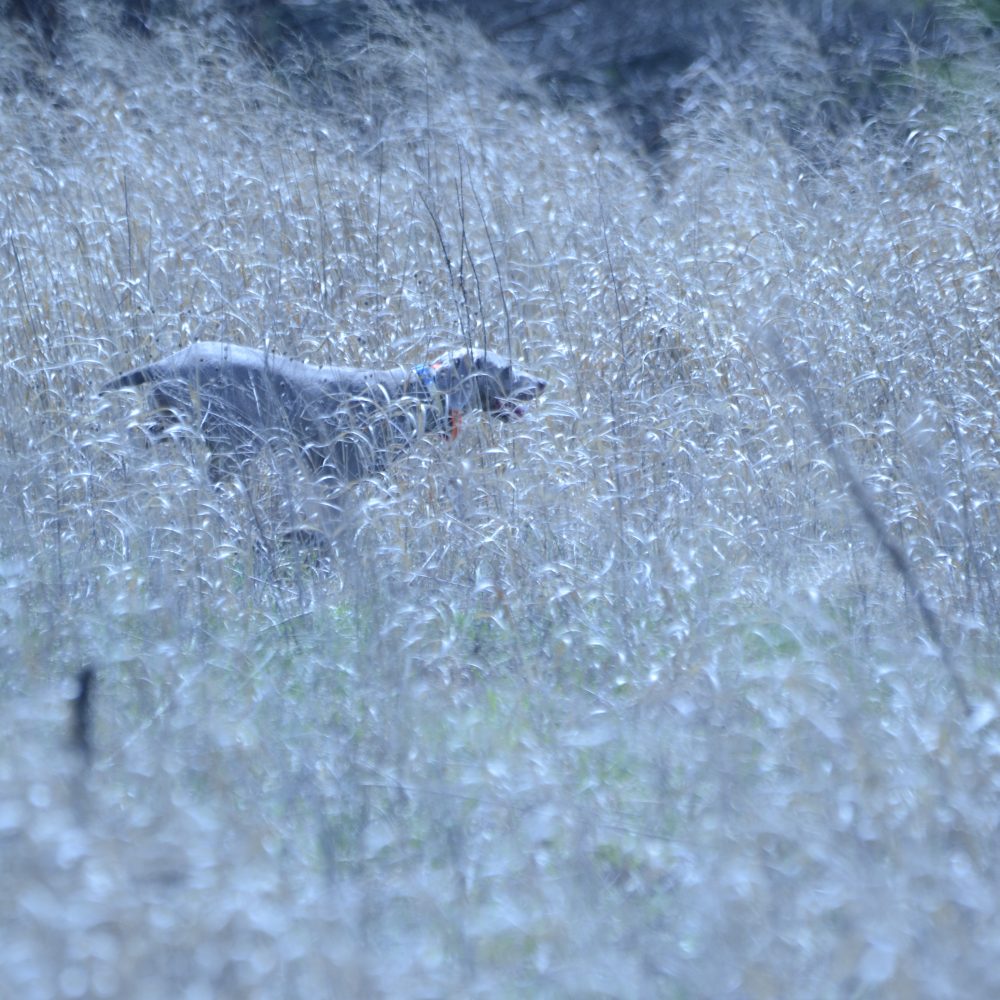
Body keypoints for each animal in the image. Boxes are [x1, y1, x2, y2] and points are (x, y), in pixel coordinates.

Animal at [101, 340, 548, 488]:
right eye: (507, 369)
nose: (543, 382)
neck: (414, 393)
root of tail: (166, 362)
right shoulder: (339, 468)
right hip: (230, 442)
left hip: (170, 421)